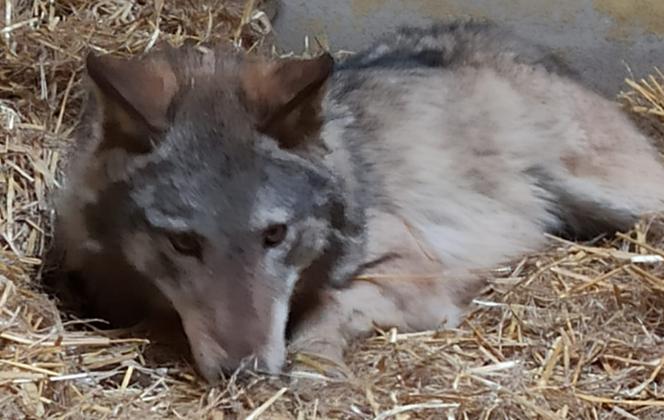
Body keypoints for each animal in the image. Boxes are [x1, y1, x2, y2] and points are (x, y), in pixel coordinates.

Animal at [50, 18, 664, 380]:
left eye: (275, 234)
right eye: (182, 243)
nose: (247, 372)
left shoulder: (416, 268)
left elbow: (333, 307)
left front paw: (314, 365)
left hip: (624, 195)